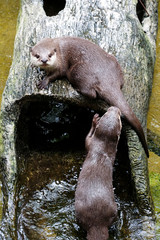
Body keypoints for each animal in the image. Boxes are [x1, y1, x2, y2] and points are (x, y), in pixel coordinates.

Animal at [74, 107, 121, 240]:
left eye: (119, 118)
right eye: (107, 112)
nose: (116, 108)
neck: (102, 151)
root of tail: (97, 223)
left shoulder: (90, 143)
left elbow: (86, 139)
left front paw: (94, 121)